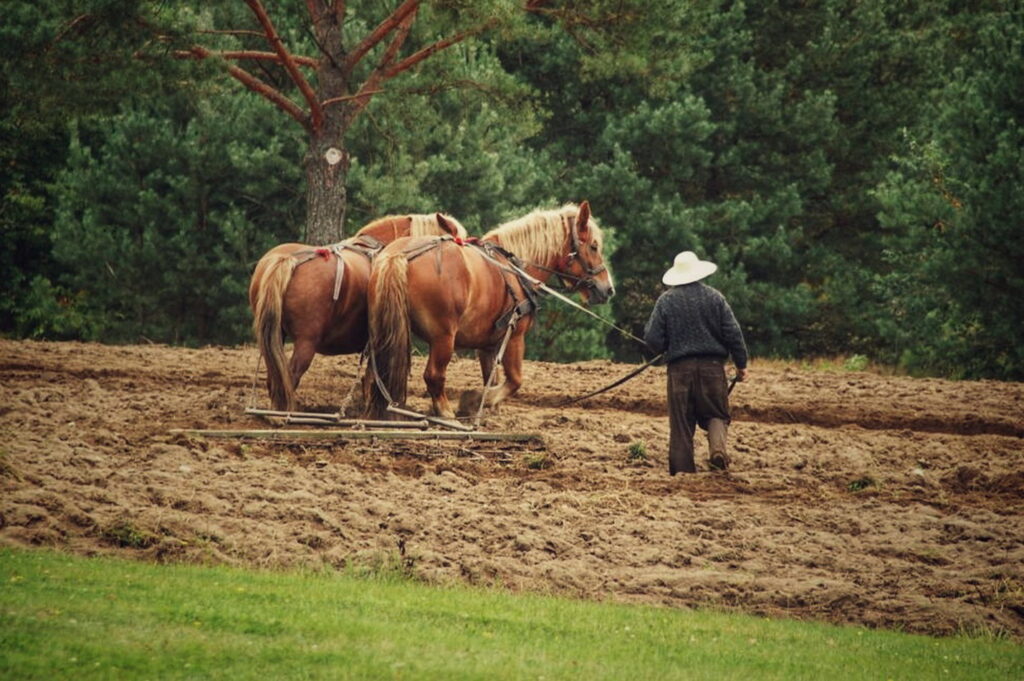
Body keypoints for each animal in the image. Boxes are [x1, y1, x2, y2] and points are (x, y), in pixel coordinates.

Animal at [249, 214, 466, 409]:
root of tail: (286, 260)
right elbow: (371, 379)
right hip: (306, 342)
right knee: (290, 376)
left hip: (274, 336)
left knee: (275, 378)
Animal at [364, 199, 610, 417]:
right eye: (594, 246)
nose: (608, 289)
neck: (516, 269)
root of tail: (399, 255)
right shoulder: (515, 337)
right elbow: (514, 380)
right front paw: (473, 401)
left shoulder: (488, 345)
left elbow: (492, 377)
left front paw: (490, 408)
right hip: (443, 338)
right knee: (433, 375)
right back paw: (445, 412)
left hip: (386, 330)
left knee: (377, 373)